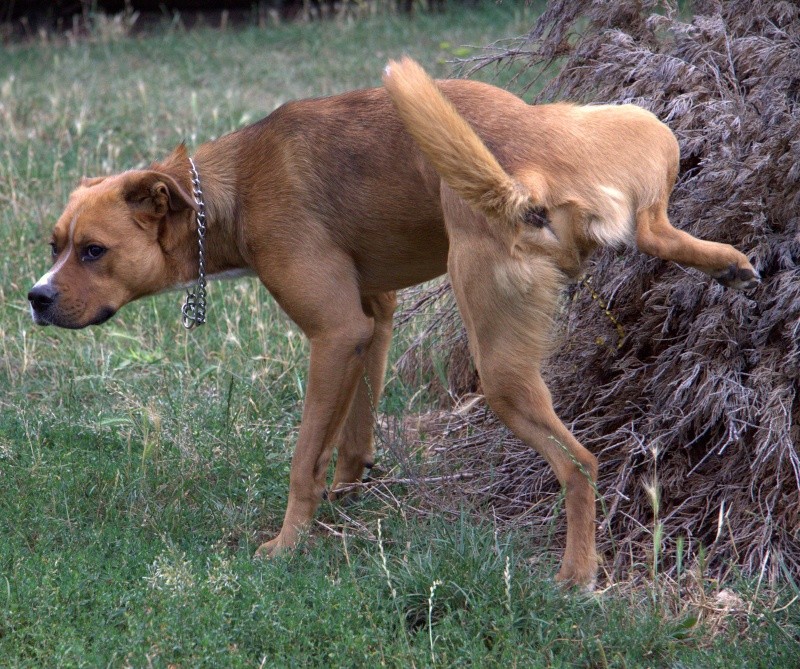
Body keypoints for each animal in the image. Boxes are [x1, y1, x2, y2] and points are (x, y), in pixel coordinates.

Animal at [28, 58, 760, 588]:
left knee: (579, 464)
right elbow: (351, 434)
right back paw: (727, 263)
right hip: (635, 127)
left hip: (499, 372)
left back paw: (577, 575)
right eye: (54, 244)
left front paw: (287, 544)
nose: (35, 297)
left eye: (93, 251)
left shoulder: (334, 334)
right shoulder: (370, 323)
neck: (232, 186)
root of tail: (524, 178)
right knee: (655, 226)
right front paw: (348, 494)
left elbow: (303, 459)